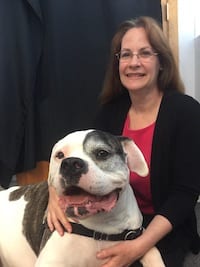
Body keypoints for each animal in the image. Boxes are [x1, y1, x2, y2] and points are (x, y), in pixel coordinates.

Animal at [0, 129, 165, 266]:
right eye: (60, 155)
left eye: (102, 153)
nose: (70, 163)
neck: (101, 228)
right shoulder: (49, 261)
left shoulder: (137, 237)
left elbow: (154, 253)